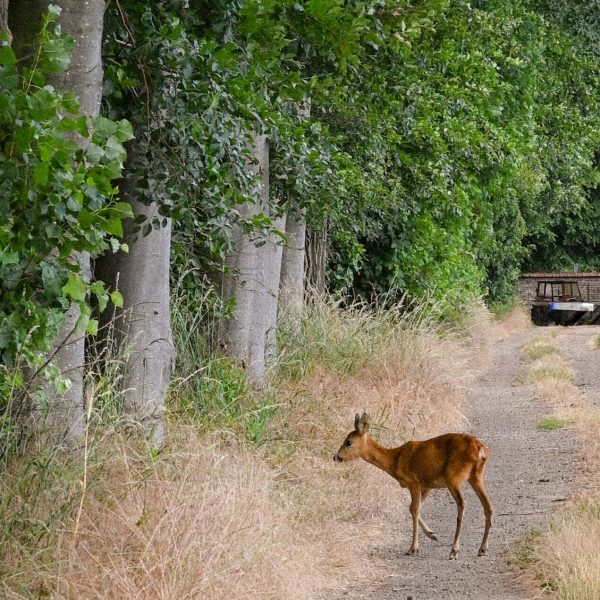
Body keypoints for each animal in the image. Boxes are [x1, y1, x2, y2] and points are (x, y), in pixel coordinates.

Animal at [332, 412, 492, 556]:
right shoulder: (426, 485)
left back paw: (454, 550)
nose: (335, 457)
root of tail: (480, 449)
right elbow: (413, 508)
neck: (395, 460)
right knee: (488, 506)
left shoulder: (413, 482)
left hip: (454, 477)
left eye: (348, 442)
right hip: (476, 475)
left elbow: (414, 510)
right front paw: (432, 534)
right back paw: (482, 549)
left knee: (462, 504)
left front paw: (413, 548)